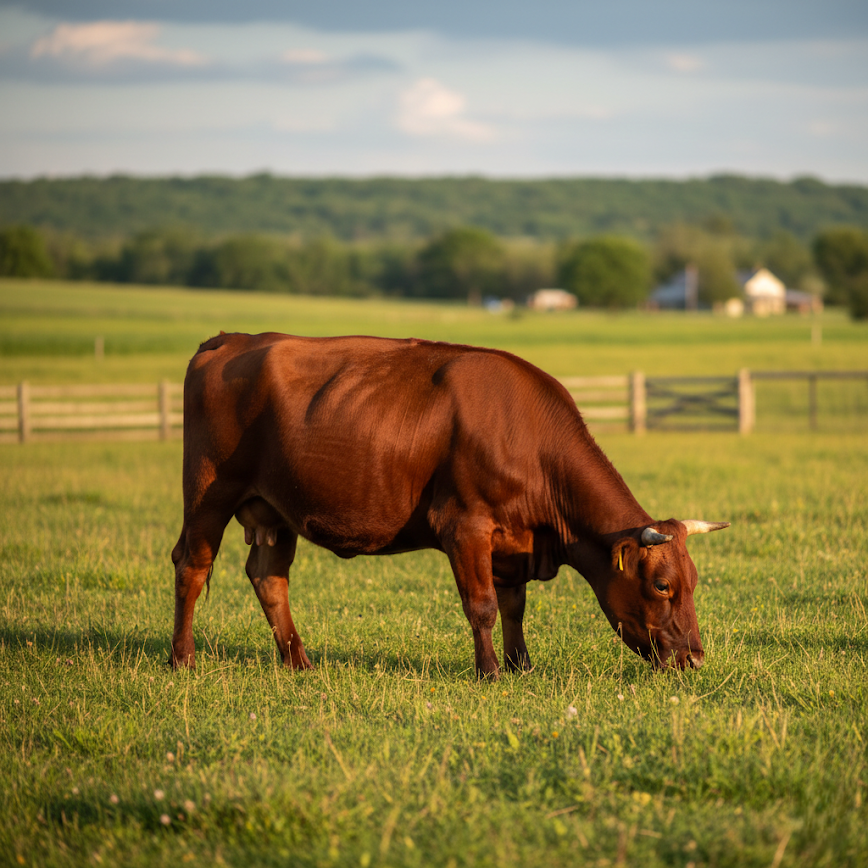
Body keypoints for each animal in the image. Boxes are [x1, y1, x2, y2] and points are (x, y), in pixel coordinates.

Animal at [171, 332, 728, 679]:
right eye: (663, 585)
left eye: (695, 581)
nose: (695, 659)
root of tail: (231, 340)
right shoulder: (465, 525)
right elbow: (481, 605)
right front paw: (491, 673)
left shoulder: (512, 543)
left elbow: (514, 605)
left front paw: (522, 665)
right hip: (208, 491)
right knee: (191, 565)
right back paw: (183, 659)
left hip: (275, 508)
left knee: (268, 577)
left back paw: (298, 662)